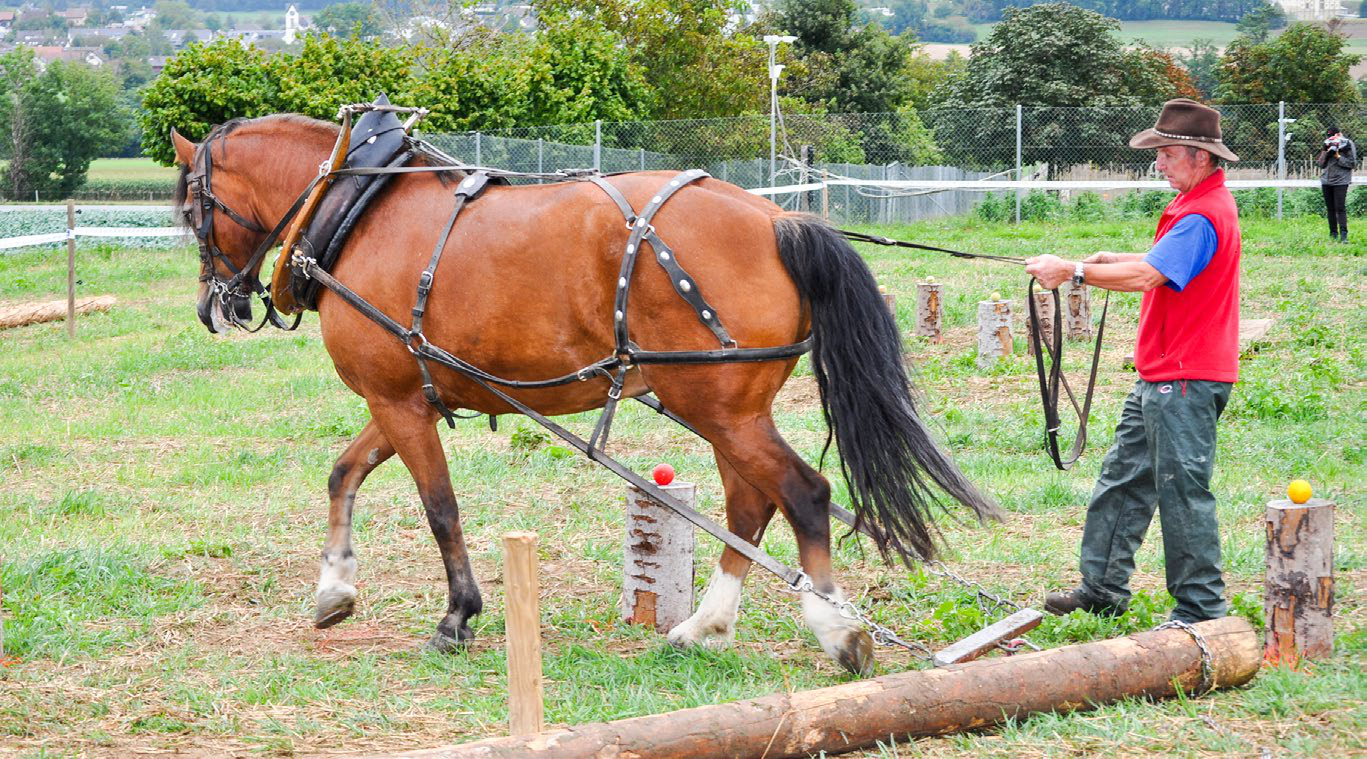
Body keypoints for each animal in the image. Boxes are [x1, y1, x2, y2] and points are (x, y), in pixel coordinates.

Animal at [176, 114, 1000, 678]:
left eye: (192, 211)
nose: (214, 307)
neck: (354, 207)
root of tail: (778, 217)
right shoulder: (408, 395)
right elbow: (343, 473)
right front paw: (334, 589)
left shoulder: (399, 400)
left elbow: (439, 508)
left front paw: (457, 616)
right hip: (726, 410)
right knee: (749, 503)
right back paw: (704, 627)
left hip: (718, 407)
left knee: (801, 492)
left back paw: (836, 629)